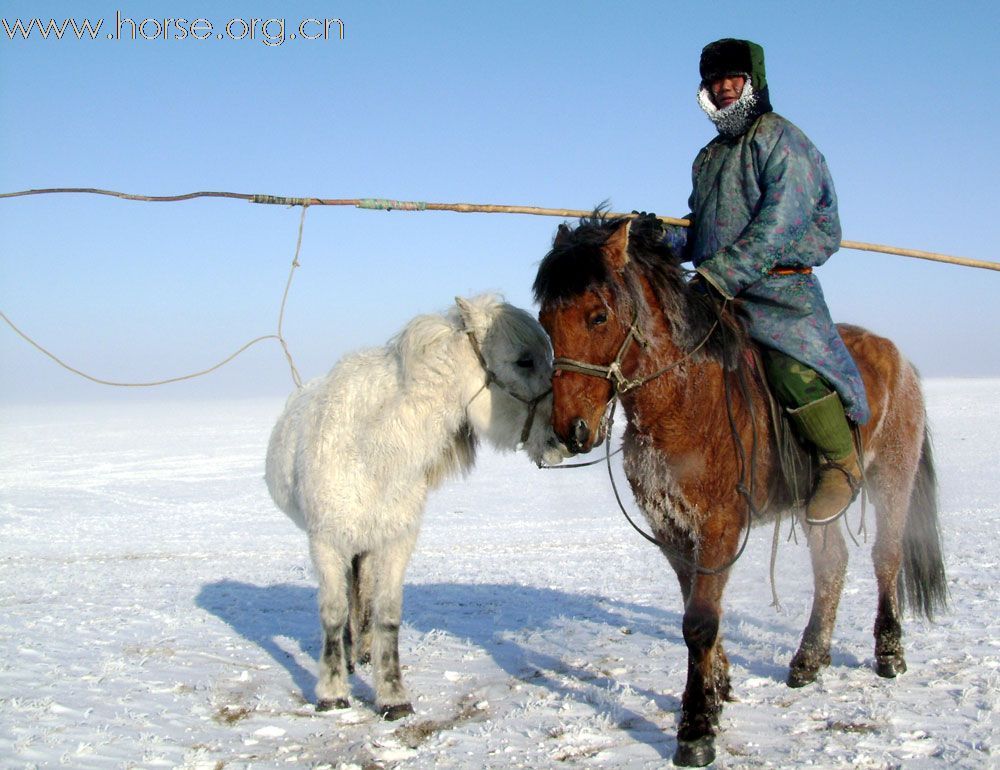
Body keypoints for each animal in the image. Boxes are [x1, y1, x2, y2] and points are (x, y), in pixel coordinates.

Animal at [264, 292, 564, 712]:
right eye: (524, 360)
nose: (567, 436)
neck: (373, 449)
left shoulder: (396, 541)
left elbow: (387, 614)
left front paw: (392, 695)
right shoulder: (326, 542)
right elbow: (333, 613)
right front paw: (333, 692)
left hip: (368, 546)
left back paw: (364, 653)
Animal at [532, 213, 944, 764]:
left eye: (598, 316)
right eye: (546, 321)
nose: (571, 430)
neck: (684, 397)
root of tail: (899, 358)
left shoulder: (719, 526)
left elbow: (700, 621)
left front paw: (697, 728)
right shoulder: (670, 529)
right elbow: (694, 609)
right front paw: (717, 688)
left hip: (892, 476)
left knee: (887, 556)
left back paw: (889, 653)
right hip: (817, 502)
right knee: (832, 563)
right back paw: (809, 659)